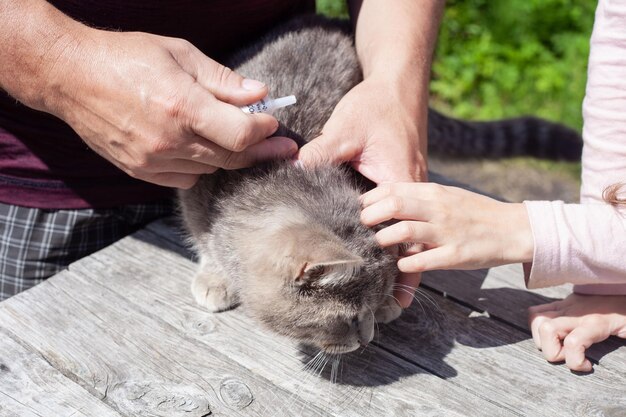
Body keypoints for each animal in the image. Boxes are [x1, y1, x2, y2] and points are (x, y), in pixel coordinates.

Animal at [178, 16, 584, 354]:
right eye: (349, 318)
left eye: (371, 309)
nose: (368, 338)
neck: (268, 179)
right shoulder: (195, 189)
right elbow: (203, 237)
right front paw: (216, 274)